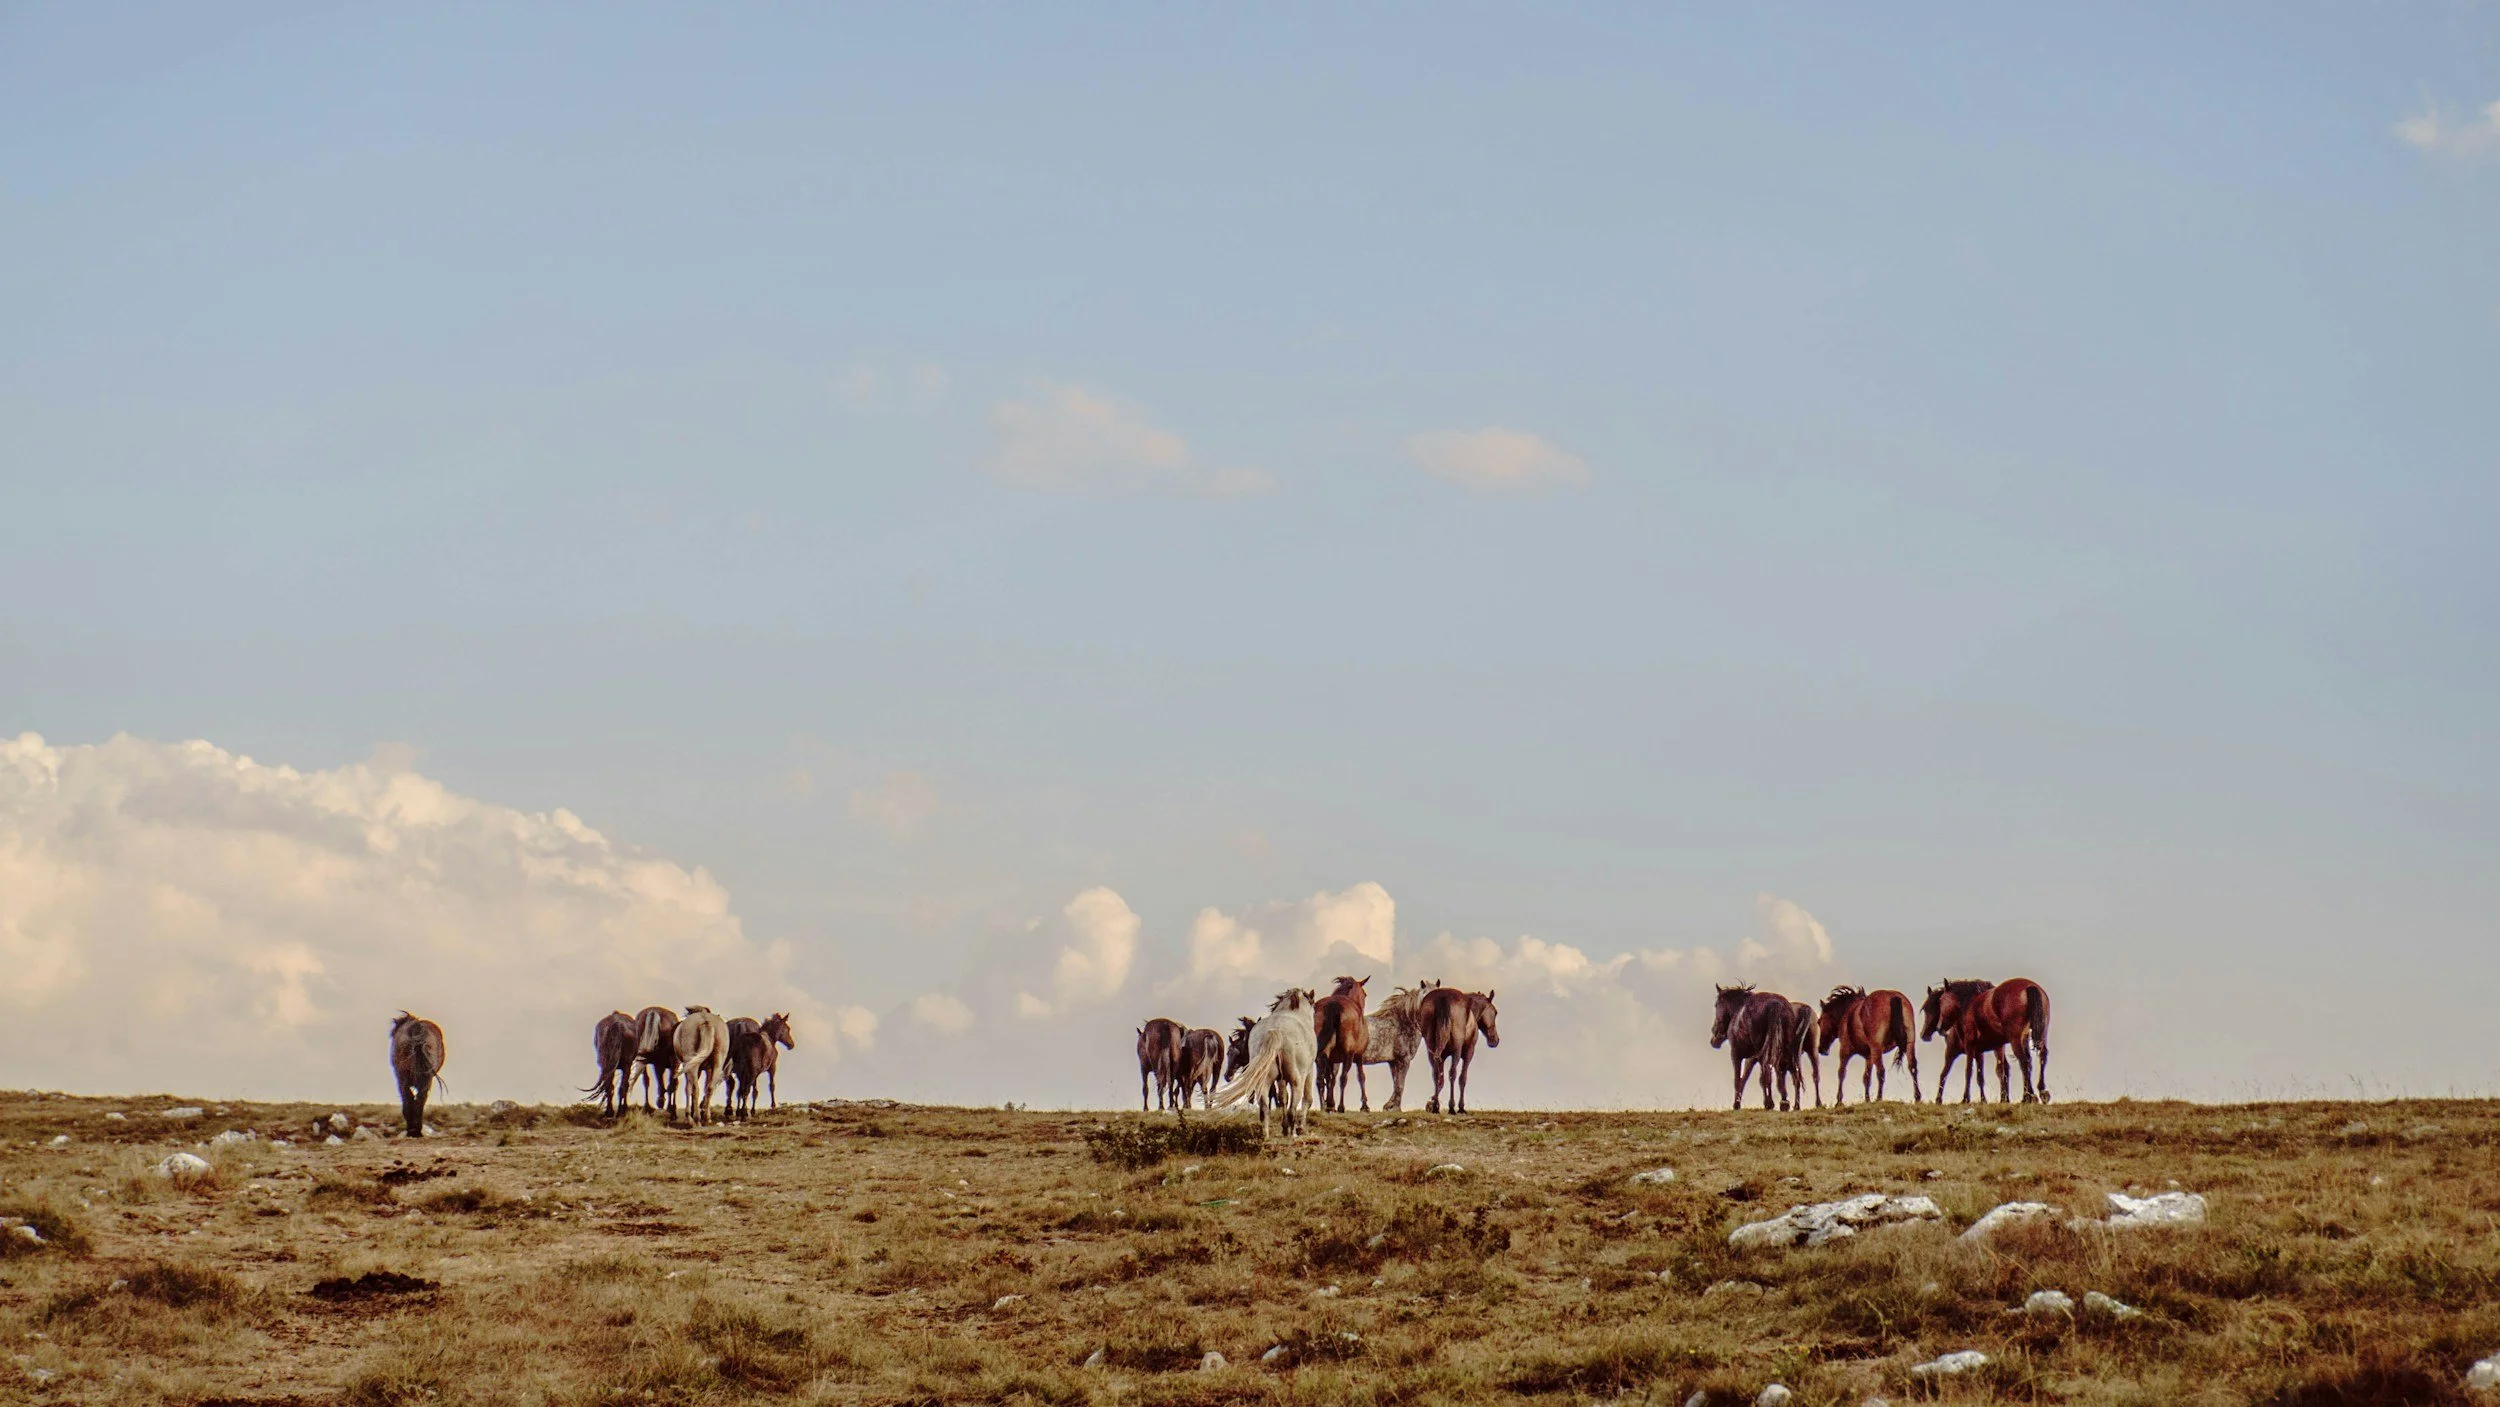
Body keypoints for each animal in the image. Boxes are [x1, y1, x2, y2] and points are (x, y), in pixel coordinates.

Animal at [1211, 988, 1320, 1136]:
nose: (1228, 1076)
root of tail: (1275, 1030)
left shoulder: (1280, 1078)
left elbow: (1282, 1098)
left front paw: (1284, 1127)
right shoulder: (1309, 1071)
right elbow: (1306, 1099)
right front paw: (1300, 1128)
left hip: (1263, 1079)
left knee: (1264, 1109)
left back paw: (1266, 1135)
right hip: (1296, 1079)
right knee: (1292, 1108)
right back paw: (1293, 1134)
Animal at [1314, 975, 1372, 1113]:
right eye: (1365, 994)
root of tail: (1333, 1005)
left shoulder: (1332, 1059)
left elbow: (1330, 1078)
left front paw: (1330, 1103)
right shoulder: (1359, 1054)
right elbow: (1361, 1076)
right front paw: (1365, 1105)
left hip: (1321, 1052)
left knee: (1321, 1079)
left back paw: (1325, 1106)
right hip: (1348, 1054)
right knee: (1343, 1078)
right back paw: (1340, 1106)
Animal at [1350, 981, 1434, 1110]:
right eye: (1426, 996)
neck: (1402, 1022)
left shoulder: (1393, 1061)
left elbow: (1396, 1083)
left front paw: (1390, 1105)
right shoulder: (1404, 1060)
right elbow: (1400, 1084)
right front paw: (1396, 1107)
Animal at [1419, 985, 1499, 1115]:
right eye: (1495, 1012)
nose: (1495, 1040)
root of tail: (1443, 997)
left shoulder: (1442, 1056)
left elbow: (1440, 1079)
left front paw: (1432, 1103)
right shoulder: (1468, 1054)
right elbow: (1462, 1078)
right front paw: (1461, 1107)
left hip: (1431, 1048)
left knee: (1436, 1073)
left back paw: (1436, 1107)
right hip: (1456, 1050)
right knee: (1453, 1073)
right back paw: (1452, 1107)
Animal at [1922, 978, 2052, 1104]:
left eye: (1940, 1002)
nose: (1939, 1028)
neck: (1968, 1004)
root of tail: (2029, 986)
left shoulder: (1970, 1044)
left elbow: (1968, 1070)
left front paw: (1965, 1098)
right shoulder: (1989, 1047)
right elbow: (1992, 1072)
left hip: (2015, 1039)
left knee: (2023, 1062)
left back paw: (2028, 1096)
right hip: (2037, 1034)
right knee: (2040, 1056)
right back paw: (2041, 1092)